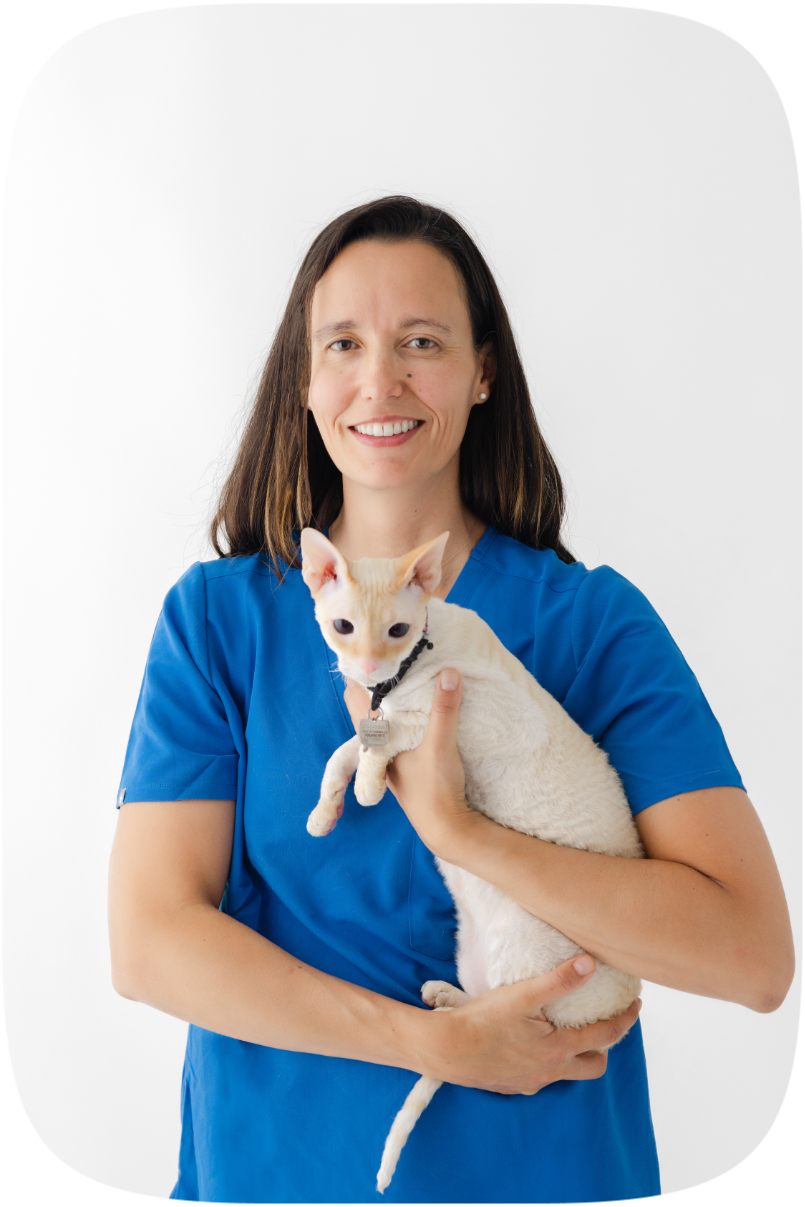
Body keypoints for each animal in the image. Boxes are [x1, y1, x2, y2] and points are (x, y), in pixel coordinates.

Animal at [299, 526, 646, 1187]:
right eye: (343, 627)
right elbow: (348, 746)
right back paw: (446, 1000)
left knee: (510, 1022)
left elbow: (394, 732)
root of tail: (615, 1011)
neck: (407, 673)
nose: (368, 666)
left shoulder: (484, 716)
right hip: (475, 951)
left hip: (527, 952)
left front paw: (370, 785)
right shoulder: (383, 710)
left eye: (397, 631)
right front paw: (327, 809)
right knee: (482, 1012)